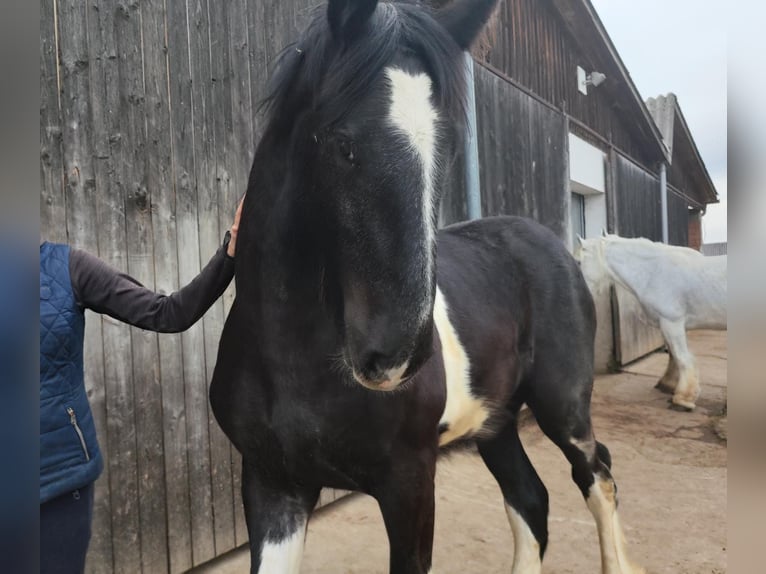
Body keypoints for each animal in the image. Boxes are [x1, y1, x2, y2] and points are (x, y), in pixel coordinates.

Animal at [213, 1, 644, 574]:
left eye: (450, 149)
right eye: (342, 144)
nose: (394, 357)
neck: (290, 358)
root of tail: (553, 245)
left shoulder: (410, 483)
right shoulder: (272, 483)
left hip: (563, 407)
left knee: (597, 476)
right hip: (495, 423)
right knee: (530, 498)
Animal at [576, 236, 732, 412]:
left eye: (578, 262)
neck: (654, 272)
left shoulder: (672, 322)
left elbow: (681, 357)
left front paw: (683, 398)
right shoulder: (668, 324)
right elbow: (673, 356)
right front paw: (669, 384)